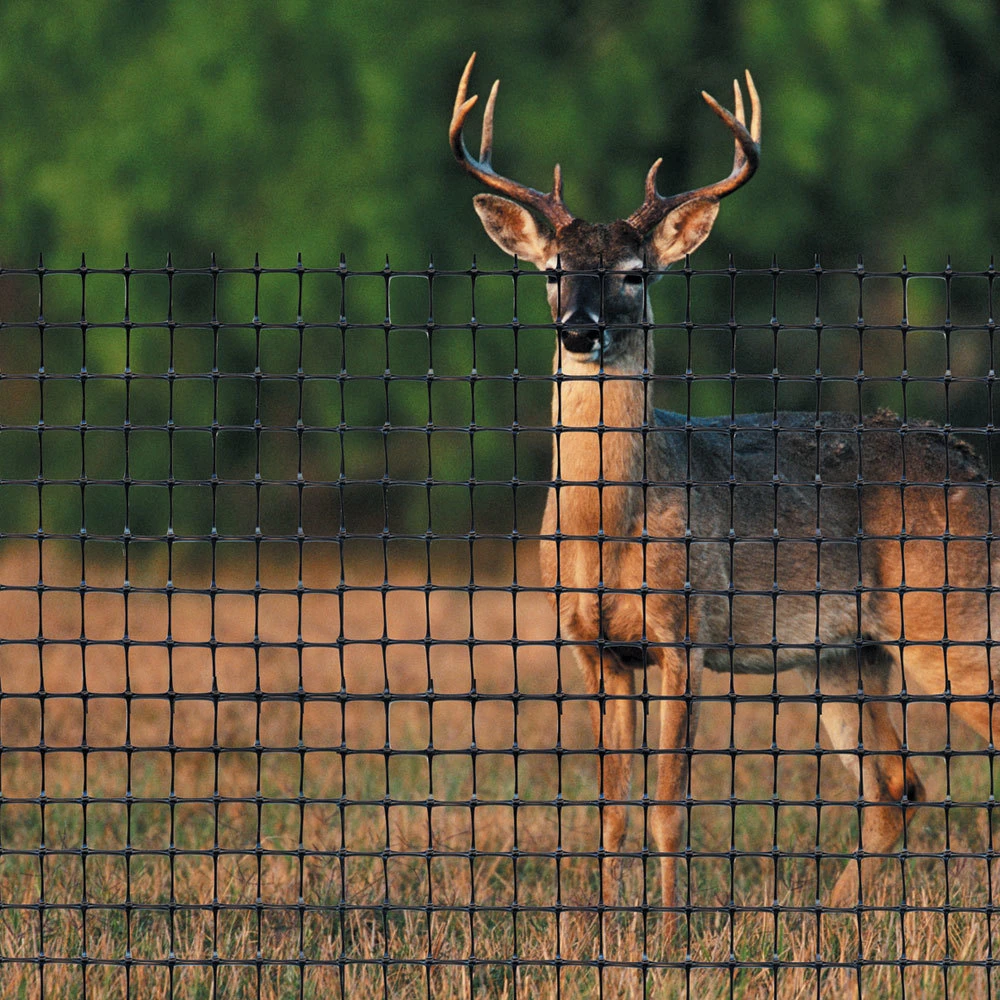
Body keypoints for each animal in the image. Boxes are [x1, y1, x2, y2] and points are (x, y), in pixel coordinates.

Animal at [450, 53, 995, 923]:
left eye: (636, 275)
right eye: (554, 271)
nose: (580, 330)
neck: (608, 526)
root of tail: (977, 467)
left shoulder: (685, 631)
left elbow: (669, 806)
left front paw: (670, 936)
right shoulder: (593, 644)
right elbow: (611, 808)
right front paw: (605, 934)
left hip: (952, 623)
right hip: (845, 653)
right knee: (897, 786)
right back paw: (822, 931)